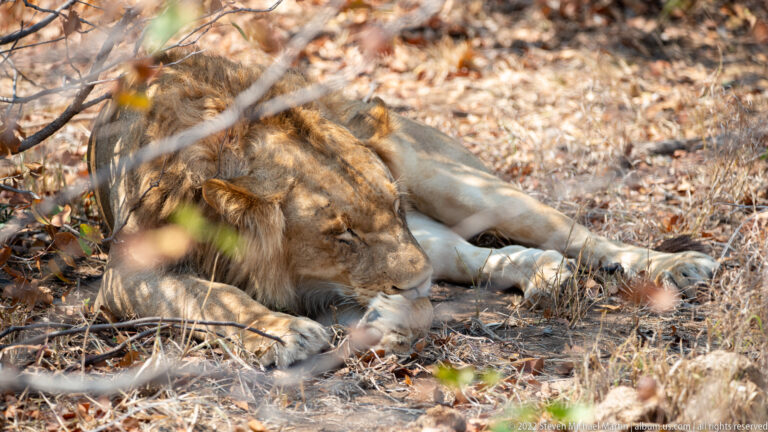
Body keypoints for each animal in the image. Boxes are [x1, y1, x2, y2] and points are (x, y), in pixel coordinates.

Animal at [88, 52, 718, 367]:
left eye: (391, 204)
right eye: (341, 234)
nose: (412, 284)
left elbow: (415, 306)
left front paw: (390, 320)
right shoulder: (128, 271)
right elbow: (210, 294)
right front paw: (281, 333)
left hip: (458, 181)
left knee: (575, 234)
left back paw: (672, 266)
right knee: (465, 256)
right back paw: (542, 275)